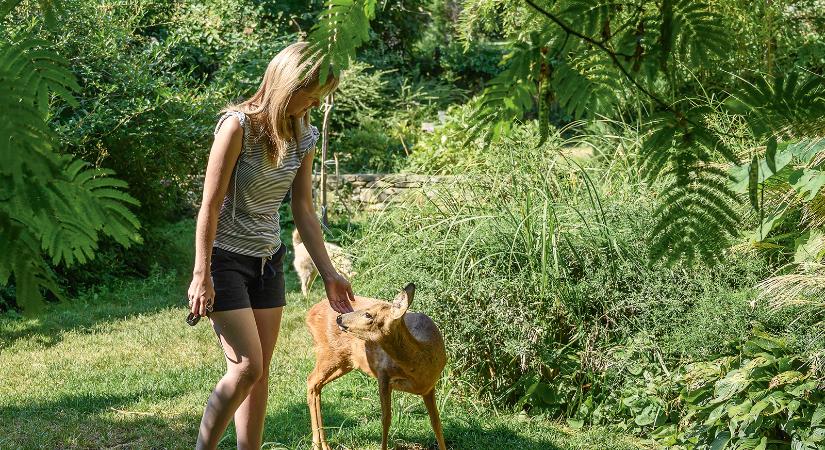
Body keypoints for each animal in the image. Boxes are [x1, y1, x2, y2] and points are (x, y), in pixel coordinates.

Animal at [304, 284, 448, 448]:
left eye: (368, 314)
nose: (339, 317)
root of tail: (310, 313)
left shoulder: (429, 388)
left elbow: (436, 422)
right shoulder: (382, 374)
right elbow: (386, 420)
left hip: (345, 362)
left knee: (317, 385)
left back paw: (323, 444)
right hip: (329, 353)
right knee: (311, 381)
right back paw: (317, 444)